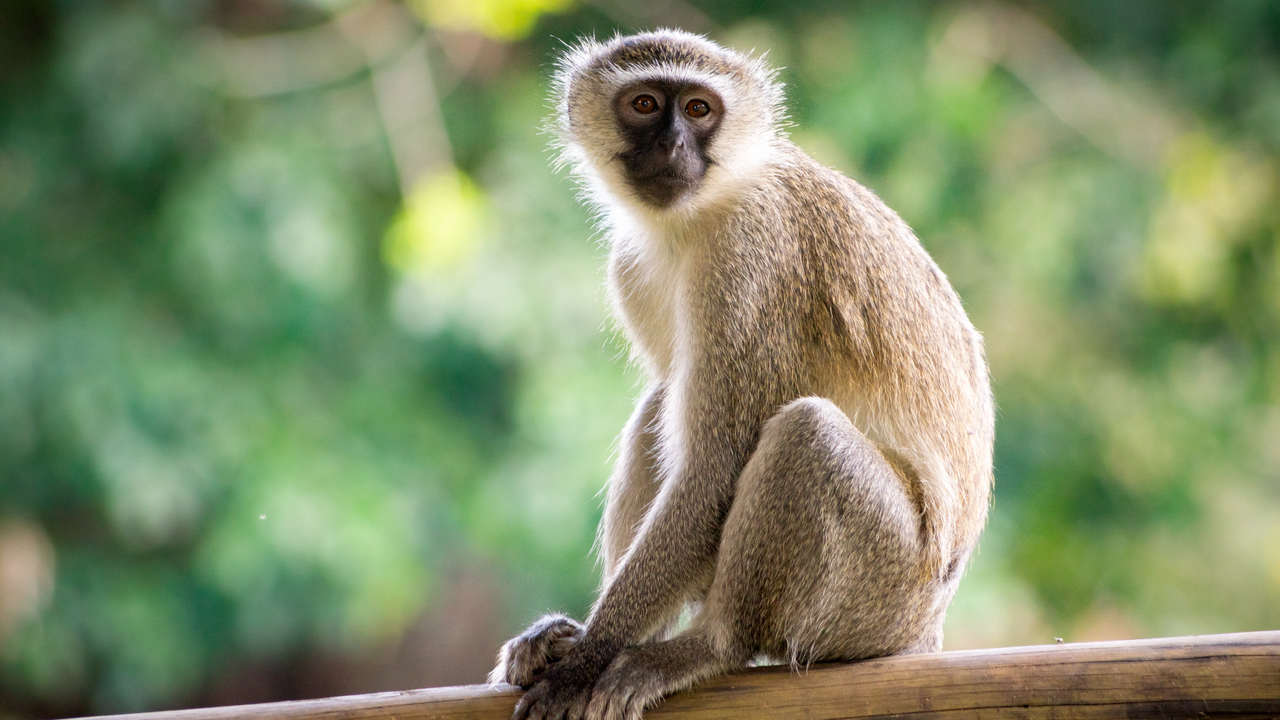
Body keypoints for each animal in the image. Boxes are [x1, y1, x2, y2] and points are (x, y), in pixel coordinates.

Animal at [489, 29, 994, 720]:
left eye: (699, 109)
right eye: (645, 104)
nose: (673, 145)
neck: (700, 211)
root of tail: (927, 631)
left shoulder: (750, 257)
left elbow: (716, 467)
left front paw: (587, 659)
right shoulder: (630, 265)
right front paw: (569, 642)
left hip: (885, 590)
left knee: (805, 434)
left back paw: (710, 646)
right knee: (663, 403)